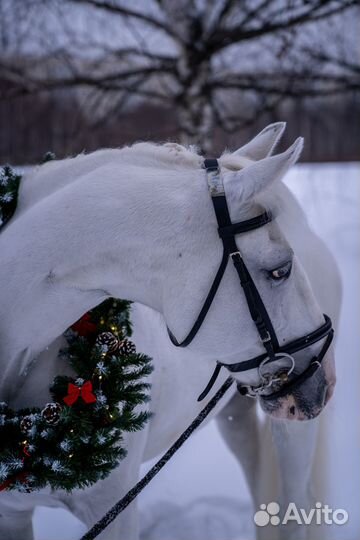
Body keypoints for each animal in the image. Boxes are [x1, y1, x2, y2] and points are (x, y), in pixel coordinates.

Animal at [0, 123, 340, 540]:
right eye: (280, 270)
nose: (327, 379)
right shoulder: (12, 514)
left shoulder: (114, 511)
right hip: (237, 416)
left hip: (294, 435)